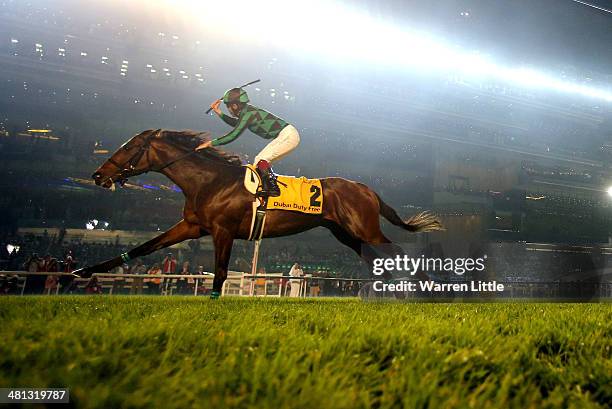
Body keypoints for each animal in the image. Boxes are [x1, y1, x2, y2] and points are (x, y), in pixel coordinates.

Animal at [74, 129, 442, 294]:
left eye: (129, 149)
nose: (98, 175)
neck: (209, 179)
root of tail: (367, 189)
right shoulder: (192, 226)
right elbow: (143, 247)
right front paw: (84, 271)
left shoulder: (223, 230)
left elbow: (221, 271)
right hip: (346, 234)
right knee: (378, 260)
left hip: (364, 229)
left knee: (396, 252)